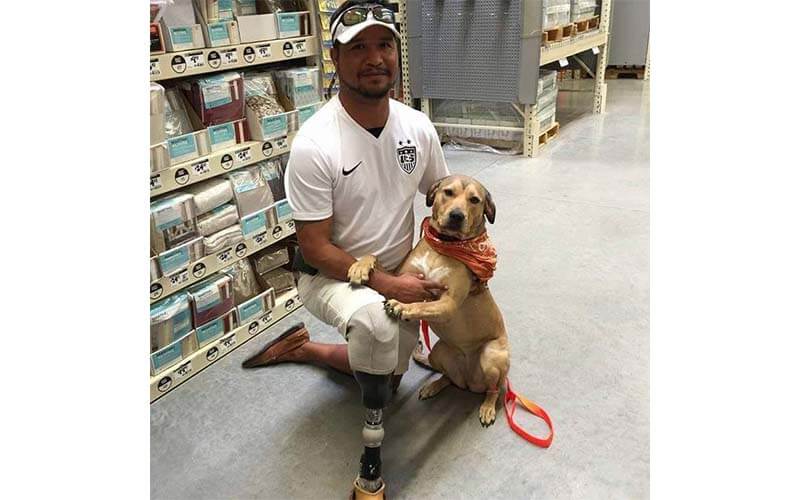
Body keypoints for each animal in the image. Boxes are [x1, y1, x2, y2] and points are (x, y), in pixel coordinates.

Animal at [347, 175, 509, 426]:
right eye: (448, 192)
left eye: (474, 200)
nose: (456, 216)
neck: (444, 246)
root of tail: (470, 383)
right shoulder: (399, 279)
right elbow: (374, 258)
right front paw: (360, 266)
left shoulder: (448, 303)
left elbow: (422, 305)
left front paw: (401, 306)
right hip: (439, 353)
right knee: (449, 378)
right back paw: (433, 386)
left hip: (492, 357)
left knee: (494, 389)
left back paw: (487, 408)